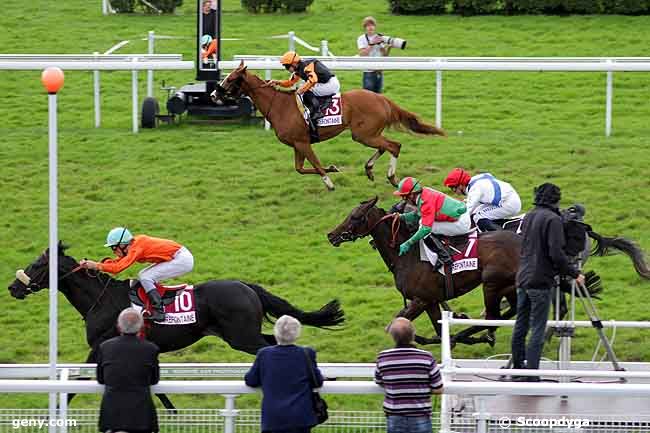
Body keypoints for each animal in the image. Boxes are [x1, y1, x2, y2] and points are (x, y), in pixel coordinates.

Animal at [7, 243, 344, 408]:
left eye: (38, 265)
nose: (13, 287)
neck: (101, 300)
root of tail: (246, 286)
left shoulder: (100, 346)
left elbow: (77, 383)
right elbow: (156, 387)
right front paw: (172, 412)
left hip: (241, 337)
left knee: (271, 348)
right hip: (242, 334)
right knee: (274, 343)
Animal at [218, 61, 446, 190]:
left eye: (230, 79)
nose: (213, 94)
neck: (280, 106)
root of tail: (382, 99)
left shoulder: (302, 142)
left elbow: (315, 164)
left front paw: (329, 182)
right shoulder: (297, 144)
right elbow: (300, 169)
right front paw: (332, 169)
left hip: (363, 134)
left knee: (394, 146)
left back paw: (390, 177)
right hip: (367, 134)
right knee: (385, 146)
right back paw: (370, 169)